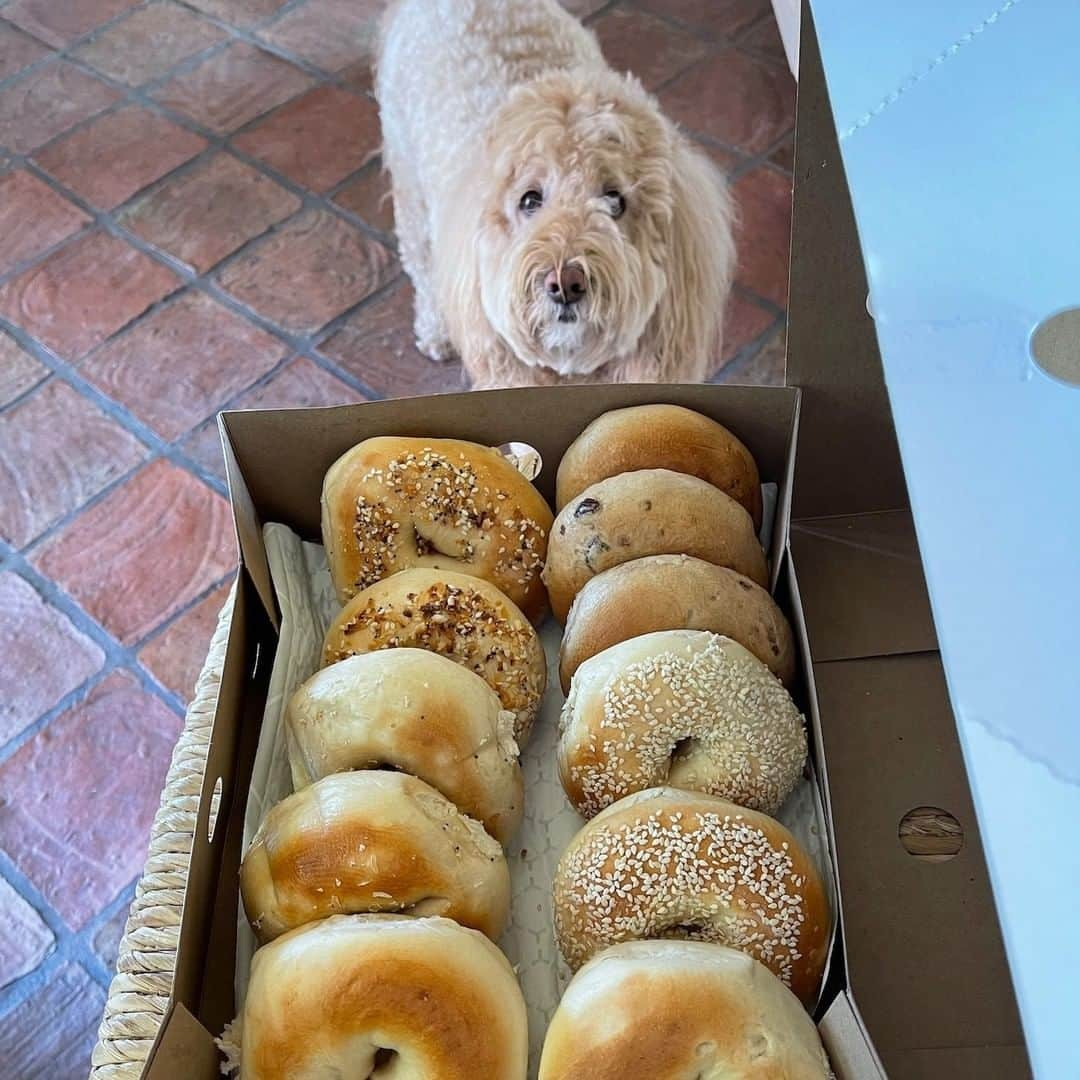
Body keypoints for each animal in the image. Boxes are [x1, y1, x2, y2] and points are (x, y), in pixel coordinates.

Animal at [375, 0, 738, 388]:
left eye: (615, 201)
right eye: (529, 200)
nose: (566, 283)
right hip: (410, 189)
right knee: (423, 268)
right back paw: (436, 332)